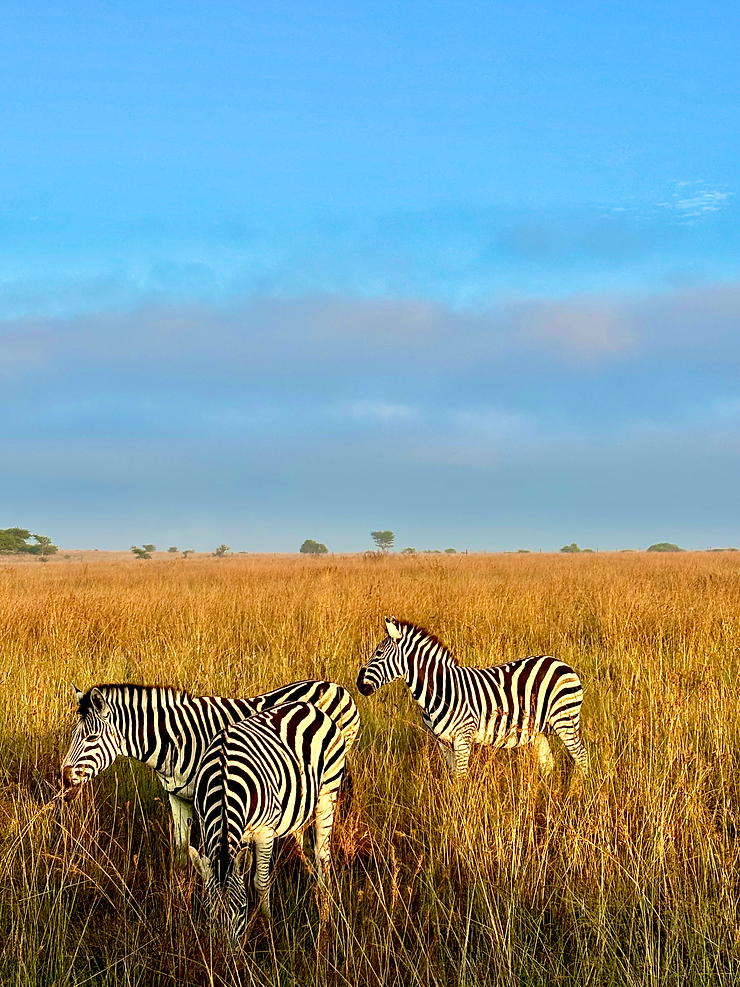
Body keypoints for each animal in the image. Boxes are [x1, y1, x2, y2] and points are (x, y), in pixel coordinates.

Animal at [61, 679, 359, 856]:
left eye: (91, 738)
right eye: (74, 734)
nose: (64, 778)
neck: (176, 740)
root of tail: (337, 687)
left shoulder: (212, 800)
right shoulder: (177, 797)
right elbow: (181, 850)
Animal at [188, 699, 346, 941]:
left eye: (242, 909)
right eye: (208, 909)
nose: (224, 951)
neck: (223, 784)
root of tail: (309, 706)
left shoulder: (265, 832)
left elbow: (260, 882)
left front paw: (269, 925)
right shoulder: (206, 824)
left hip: (328, 793)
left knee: (323, 858)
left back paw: (325, 917)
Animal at [356, 616, 587, 778]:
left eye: (378, 654)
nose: (358, 684)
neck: (441, 690)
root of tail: (562, 664)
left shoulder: (462, 737)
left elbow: (461, 777)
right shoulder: (443, 741)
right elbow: (452, 777)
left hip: (564, 719)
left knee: (581, 755)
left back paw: (577, 792)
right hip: (539, 728)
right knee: (548, 764)